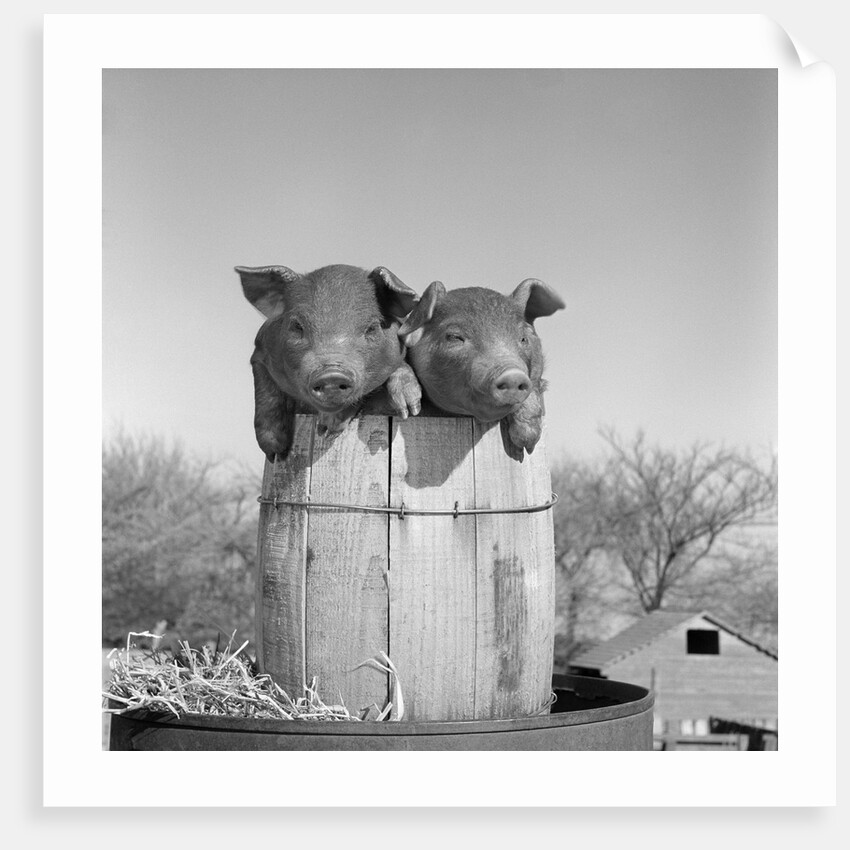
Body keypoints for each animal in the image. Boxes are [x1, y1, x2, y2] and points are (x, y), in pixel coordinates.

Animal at [236, 263, 422, 461]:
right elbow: (266, 394)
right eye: (297, 326)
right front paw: (275, 454)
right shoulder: (260, 350)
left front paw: (409, 409)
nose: (331, 374)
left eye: (371, 327)